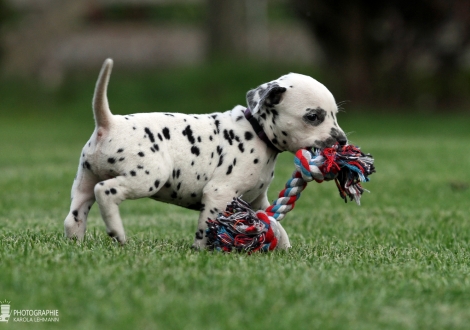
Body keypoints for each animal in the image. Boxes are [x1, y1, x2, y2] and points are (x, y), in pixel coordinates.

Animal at [64, 60, 346, 250]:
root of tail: (109, 122)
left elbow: (274, 224)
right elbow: (207, 227)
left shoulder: (257, 201)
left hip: (84, 181)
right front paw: (204, 251)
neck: (256, 130)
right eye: (313, 117)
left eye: (335, 114)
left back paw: (76, 241)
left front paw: (284, 247)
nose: (342, 141)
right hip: (147, 177)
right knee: (106, 191)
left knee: (75, 214)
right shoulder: (218, 193)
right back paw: (117, 232)